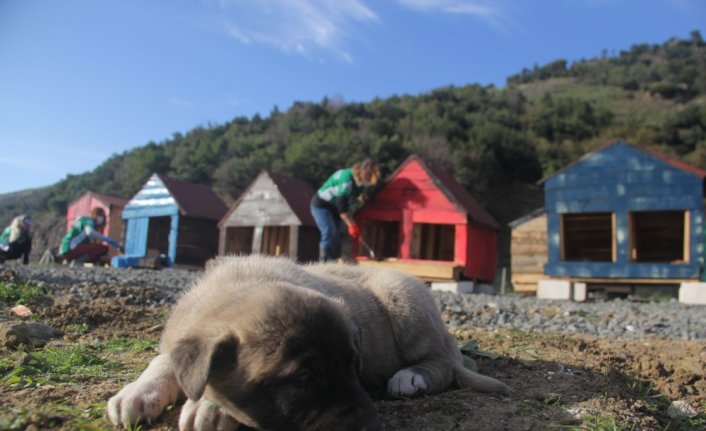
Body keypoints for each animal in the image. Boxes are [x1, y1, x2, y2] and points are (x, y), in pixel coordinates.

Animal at [107, 256, 508, 431]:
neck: (238, 289)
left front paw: (212, 406)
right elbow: (163, 362)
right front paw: (139, 392)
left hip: (408, 304)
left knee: (441, 365)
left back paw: (410, 378)